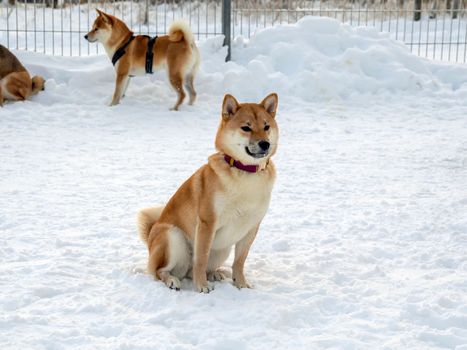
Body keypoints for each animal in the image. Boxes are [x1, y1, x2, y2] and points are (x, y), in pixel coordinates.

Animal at [137, 93, 280, 292]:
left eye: (266, 127)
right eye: (246, 128)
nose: (265, 144)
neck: (245, 173)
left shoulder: (251, 227)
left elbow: (239, 261)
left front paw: (241, 283)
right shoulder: (207, 223)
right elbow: (201, 258)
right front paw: (201, 286)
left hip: (222, 249)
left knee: (194, 270)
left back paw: (215, 273)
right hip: (173, 237)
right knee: (160, 271)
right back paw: (173, 280)